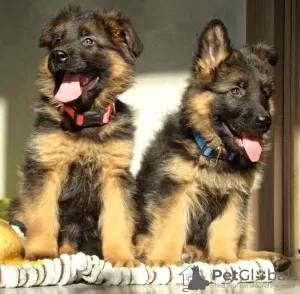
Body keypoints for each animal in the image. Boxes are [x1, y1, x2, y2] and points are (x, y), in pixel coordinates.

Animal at [7, 5, 142, 268]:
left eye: (88, 41)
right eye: (57, 40)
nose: (57, 56)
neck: (84, 120)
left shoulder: (114, 176)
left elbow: (118, 219)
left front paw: (121, 256)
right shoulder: (46, 168)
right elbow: (43, 215)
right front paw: (41, 250)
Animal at [136, 19, 290, 272]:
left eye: (265, 94)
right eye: (236, 91)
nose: (265, 121)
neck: (215, 153)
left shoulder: (235, 196)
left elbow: (226, 229)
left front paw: (226, 259)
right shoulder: (176, 189)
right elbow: (171, 225)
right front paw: (166, 258)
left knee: (239, 243)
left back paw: (266, 257)